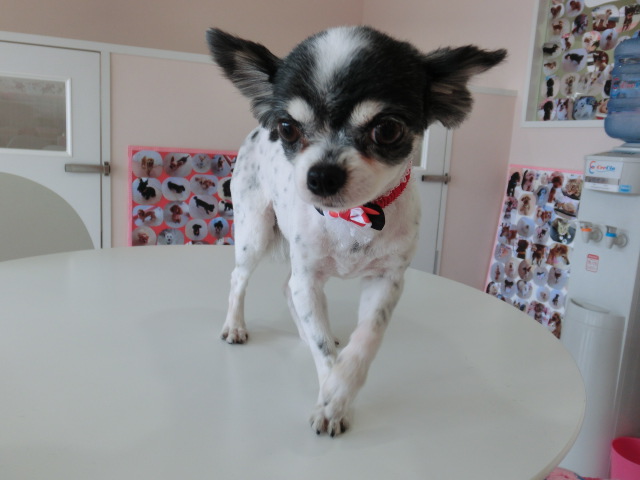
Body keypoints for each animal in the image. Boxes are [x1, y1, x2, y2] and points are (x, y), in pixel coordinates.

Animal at [206, 26, 506, 436]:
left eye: (387, 130)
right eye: (287, 129)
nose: (321, 175)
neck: (355, 216)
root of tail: (256, 128)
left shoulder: (385, 280)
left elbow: (366, 339)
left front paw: (338, 392)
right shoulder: (309, 275)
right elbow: (324, 350)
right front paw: (330, 399)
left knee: (287, 288)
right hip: (256, 231)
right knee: (240, 277)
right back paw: (235, 326)